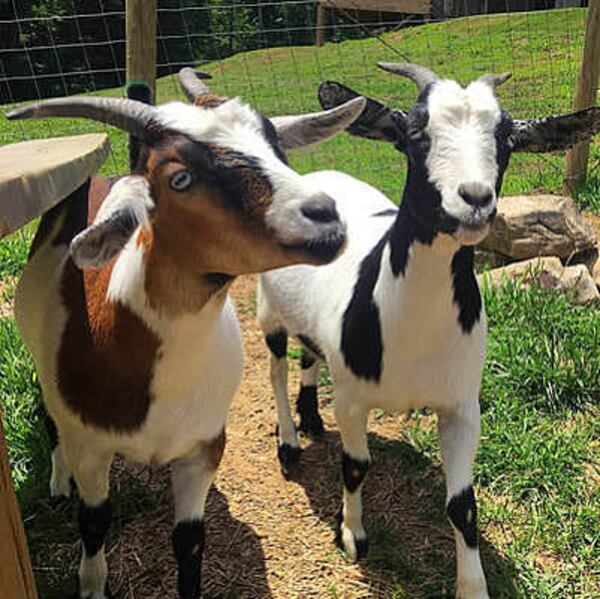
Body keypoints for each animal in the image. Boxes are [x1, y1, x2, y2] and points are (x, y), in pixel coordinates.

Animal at [7, 71, 366, 599]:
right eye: (180, 179)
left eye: (276, 147)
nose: (324, 214)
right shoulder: (90, 446)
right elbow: (94, 522)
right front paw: (91, 584)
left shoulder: (205, 445)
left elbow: (190, 540)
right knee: (52, 423)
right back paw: (57, 482)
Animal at [258, 63, 600, 596]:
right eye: (414, 134)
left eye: (507, 139)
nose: (475, 200)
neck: (411, 331)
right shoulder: (352, 399)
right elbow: (355, 465)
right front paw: (351, 535)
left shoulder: (461, 404)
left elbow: (463, 503)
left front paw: (473, 586)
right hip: (267, 307)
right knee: (275, 366)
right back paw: (289, 441)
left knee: (308, 353)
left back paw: (310, 417)